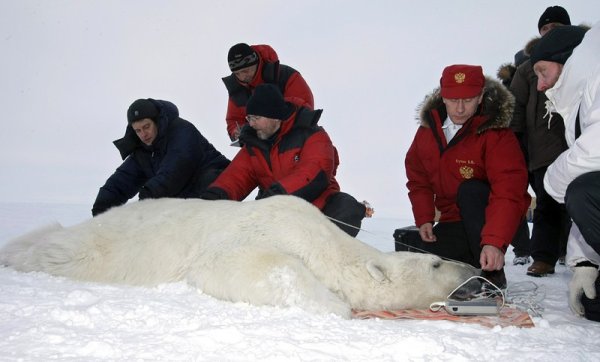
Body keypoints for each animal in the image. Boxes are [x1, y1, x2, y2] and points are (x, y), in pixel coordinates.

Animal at [0, 195, 478, 316]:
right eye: (436, 262)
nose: (473, 268)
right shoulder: (260, 232)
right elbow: (246, 265)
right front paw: (334, 304)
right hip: (78, 249)